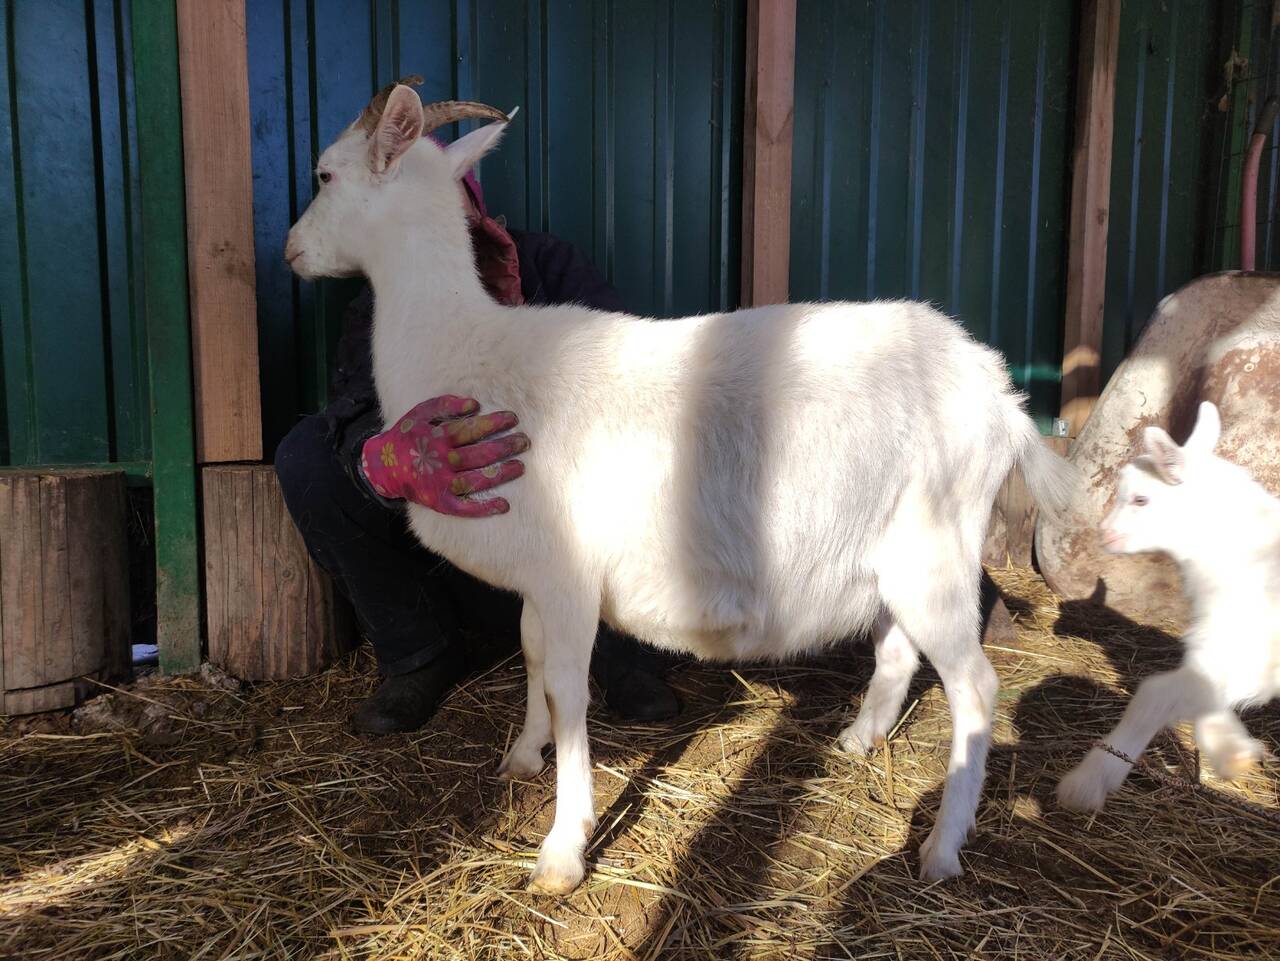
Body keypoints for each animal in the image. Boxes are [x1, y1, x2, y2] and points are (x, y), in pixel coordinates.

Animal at [285, 83, 1078, 894]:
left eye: (323, 174)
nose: (290, 250)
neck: (461, 348)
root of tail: (1001, 397)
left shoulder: (570, 573)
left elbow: (568, 689)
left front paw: (563, 848)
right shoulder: (541, 575)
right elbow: (532, 653)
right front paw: (524, 754)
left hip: (937, 550)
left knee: (976, 687)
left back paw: (942, 850)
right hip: (894, 552)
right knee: (896, 654)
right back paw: (857, 742)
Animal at [1057, 401, 1279, 813]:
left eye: (1140, 499)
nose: (1103, 534)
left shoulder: (1250, 647)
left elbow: (1155, 693)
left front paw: (1088, 781)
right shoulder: (1234, 651)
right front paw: (1231, 753)